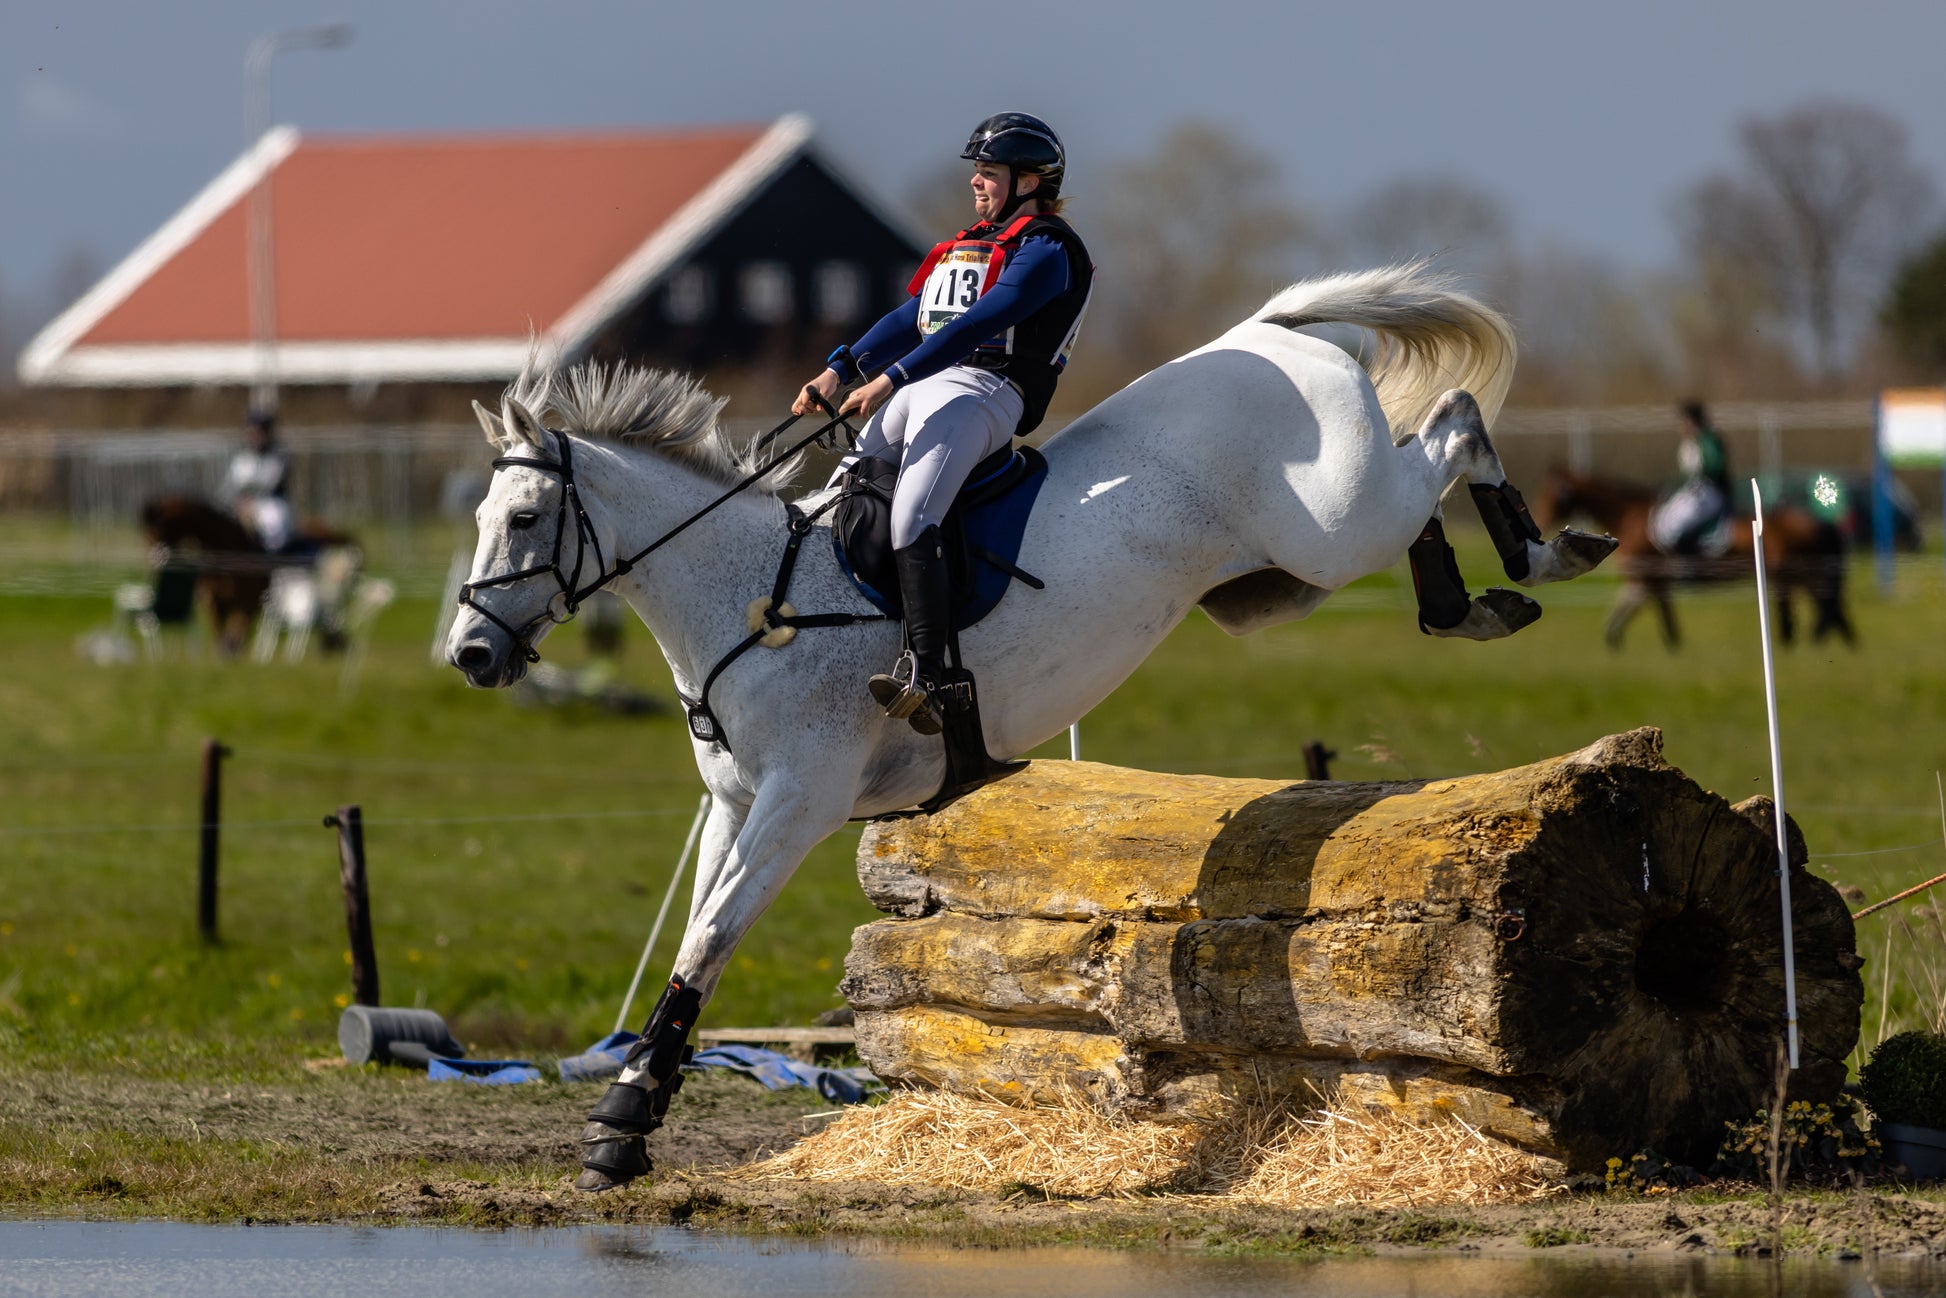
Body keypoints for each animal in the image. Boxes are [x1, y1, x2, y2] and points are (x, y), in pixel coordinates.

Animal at [139, 495, 360, 656]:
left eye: (156, 533)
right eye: (146, 536)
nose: (155, 566)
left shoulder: (248, 606)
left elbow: (234, 641)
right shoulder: (214, 605)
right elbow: (224, 641)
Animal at [443, 262, 1617, 1191]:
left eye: (524, 518)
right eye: (480, 517)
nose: (470, 657)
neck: (748, 600)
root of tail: (1267, 332)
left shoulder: (797, 803)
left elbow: (708, 939)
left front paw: (620, 1123)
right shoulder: (733, 804)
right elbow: (698, 939)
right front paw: (631, 1116)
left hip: (1334, 519)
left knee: (1452, 422)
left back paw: (1541, 549)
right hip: (1281, 582)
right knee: (1424, 478)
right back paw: (1469, 601)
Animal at [1529, 467, 1852, 649]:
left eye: (1550, 494)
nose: (1540, 522)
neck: (1630, 516)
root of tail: (1819, 522)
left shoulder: (1652, 579)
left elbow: (1665, 621)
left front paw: (1671, 649)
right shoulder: (1642, 581)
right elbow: (1622, 614)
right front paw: (1613, 642)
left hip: (1793, 575)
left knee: (1818, 613)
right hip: (1803, 576)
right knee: (1829, 611)